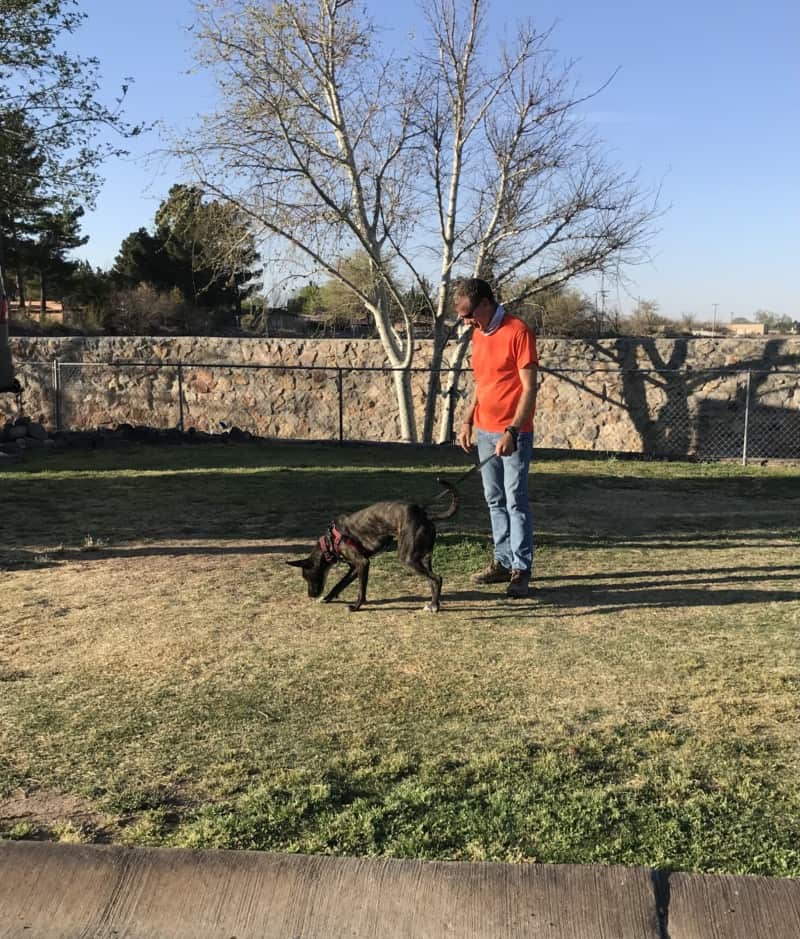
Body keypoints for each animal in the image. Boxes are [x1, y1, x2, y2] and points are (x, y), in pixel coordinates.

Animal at [288, 482, 460, 612]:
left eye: (308, 577)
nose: (311, 595)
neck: (330, 542)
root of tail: (425, 515)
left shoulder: (363, 563)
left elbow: (361, 591)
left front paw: (356, 607)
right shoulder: (355, 567)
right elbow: (340, 584)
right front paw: (328, 598)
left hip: (407, 559)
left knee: (437, 578)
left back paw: (434, 606)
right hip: (424, 557)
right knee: (432, 580)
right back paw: (433, 604)